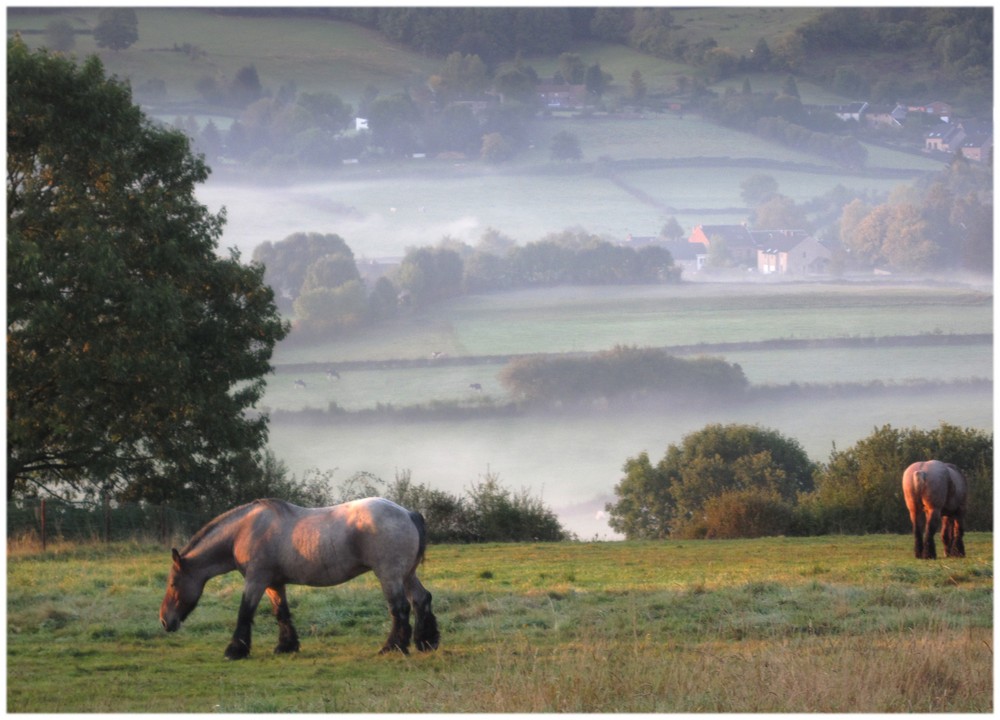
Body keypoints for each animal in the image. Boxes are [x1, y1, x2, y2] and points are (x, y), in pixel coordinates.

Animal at [158, 498, 440, 660]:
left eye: (173, 584)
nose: (164, 621)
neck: (244, 530)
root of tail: (407, 513)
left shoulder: (256, 581)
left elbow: (244, 613)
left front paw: (235, 650)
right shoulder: (274, 584)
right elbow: (281, 613)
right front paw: (286, 646)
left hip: (390, 575)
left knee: (400, 608)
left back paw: (393, 647)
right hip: (407, 574)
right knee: (421, 600)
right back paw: (425, 642)